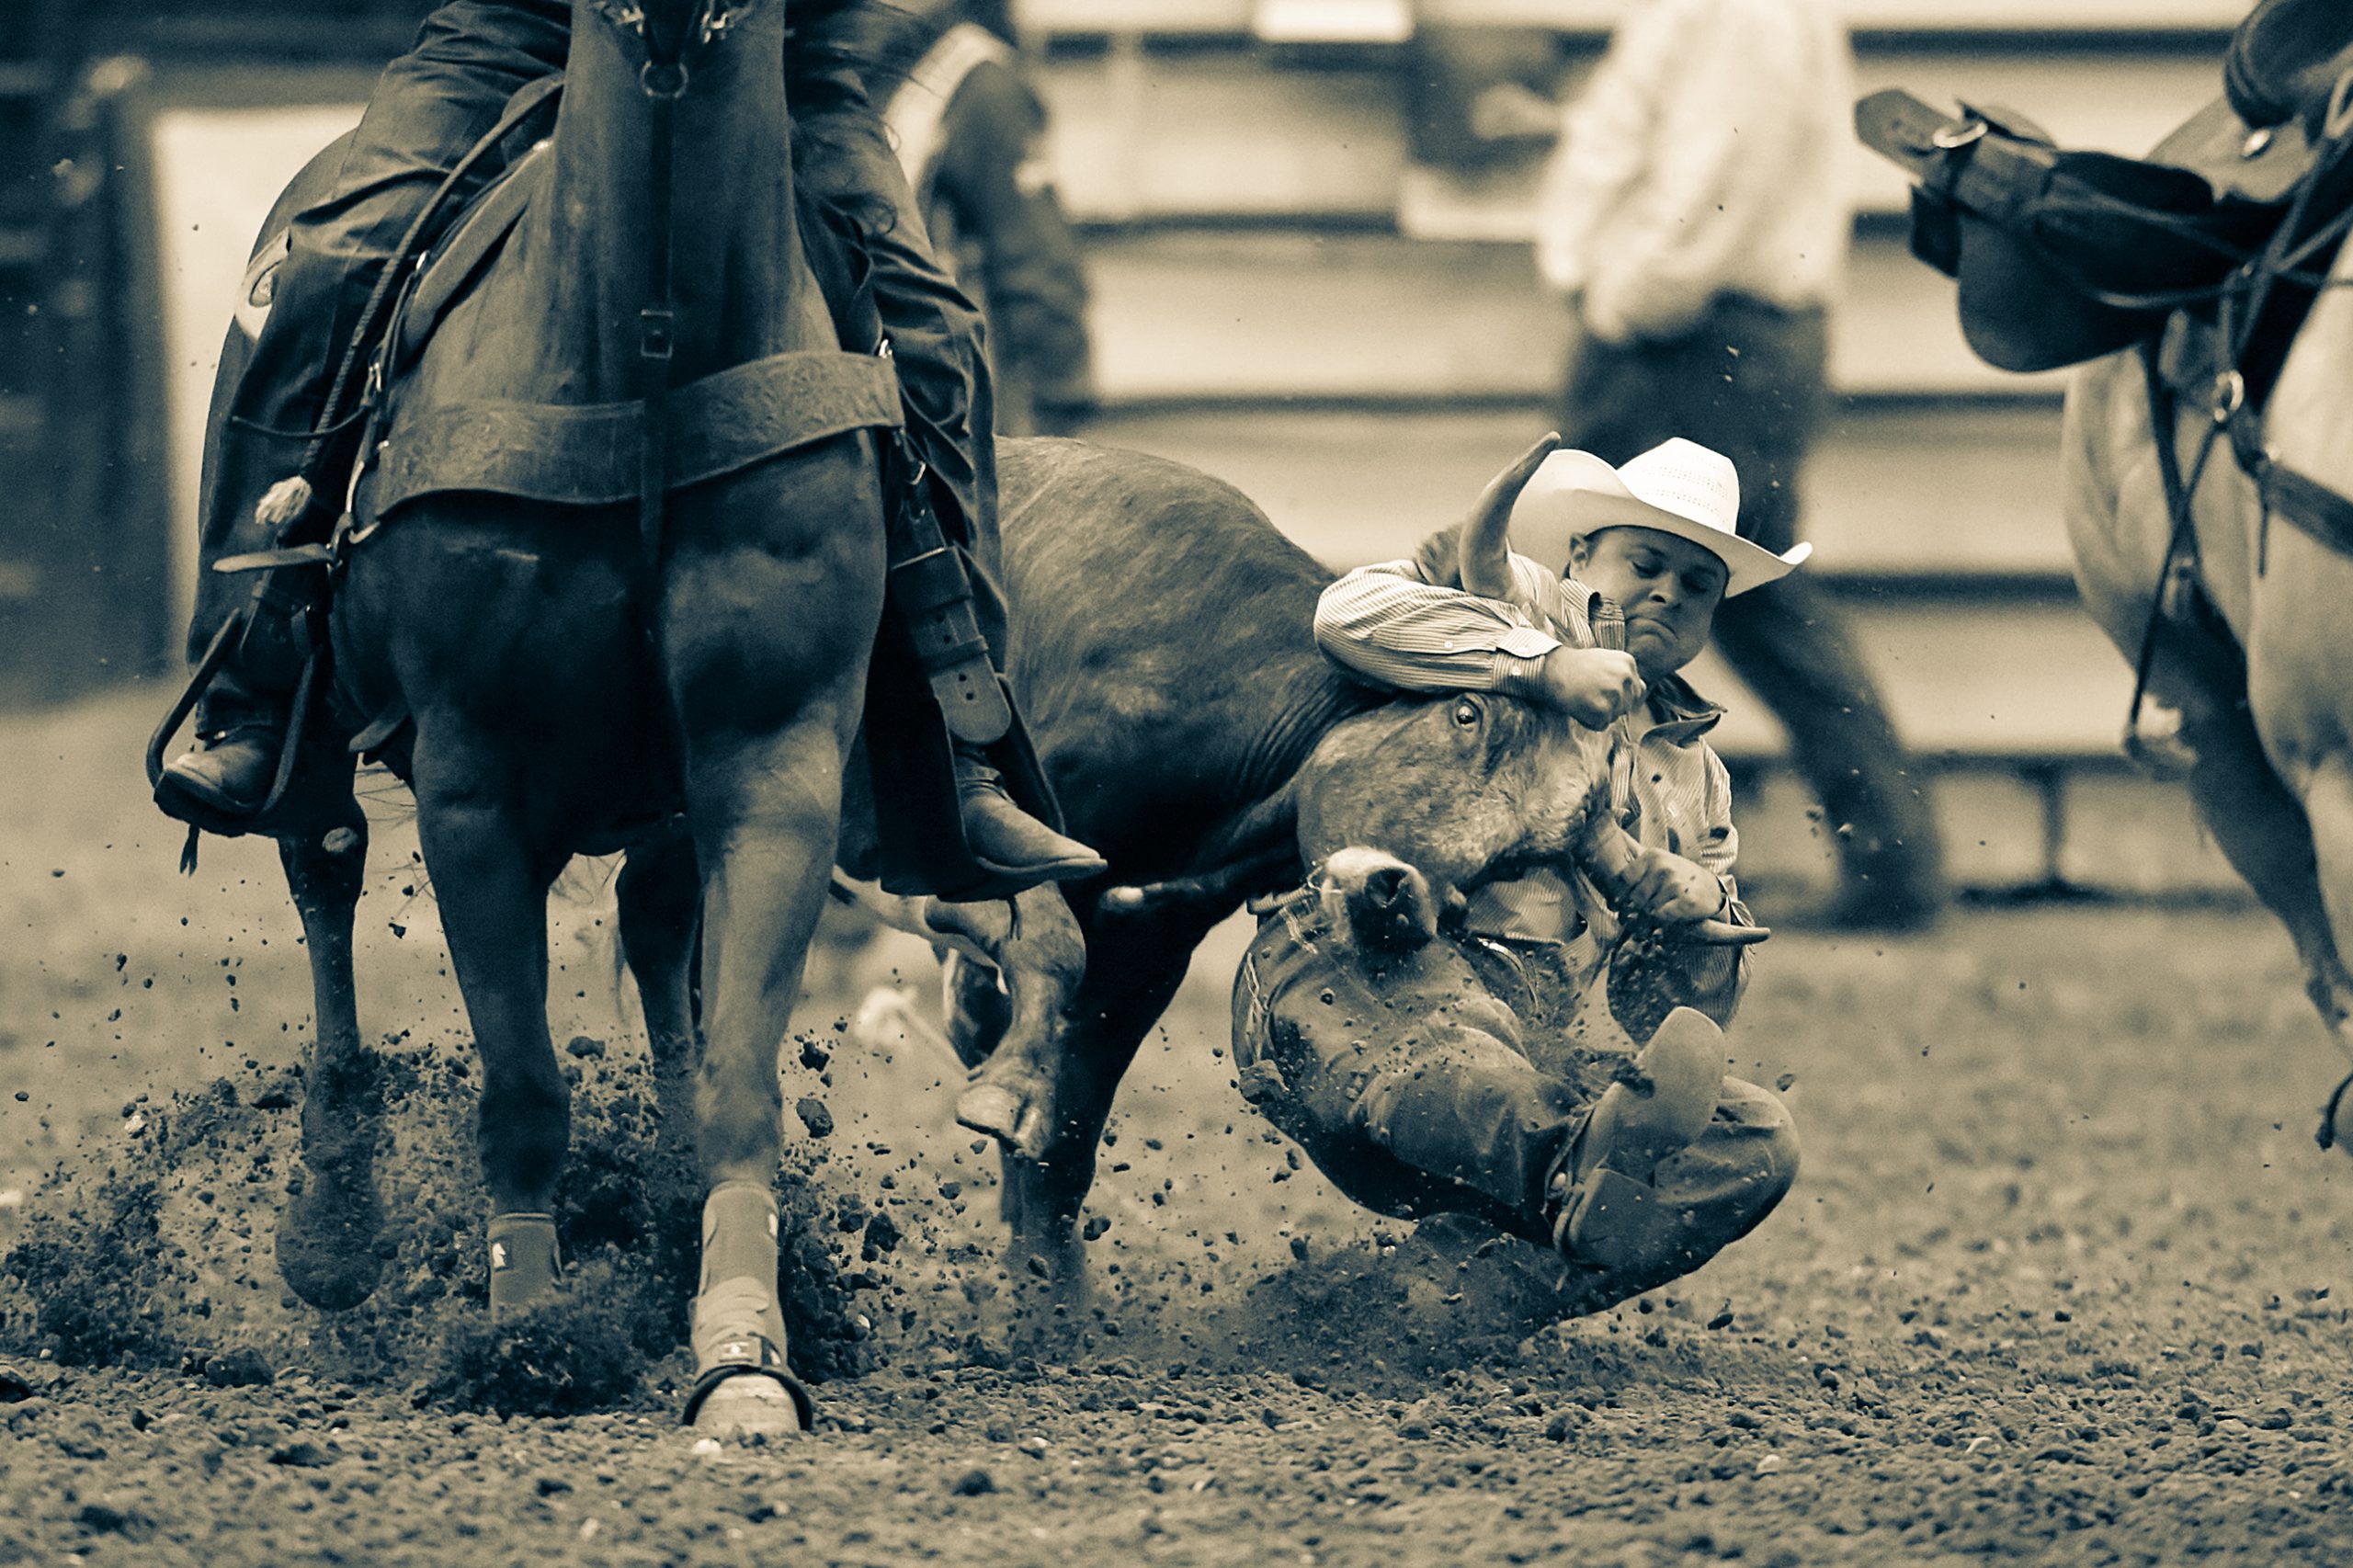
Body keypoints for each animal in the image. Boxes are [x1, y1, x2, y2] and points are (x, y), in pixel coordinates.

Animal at [186, 0, 889, 1431]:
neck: (649, 345)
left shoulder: (774, 759)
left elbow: (738, 1075)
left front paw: (743, 1346)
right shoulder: (477, 782)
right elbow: (520, 1088)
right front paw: (525, 1330)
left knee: (658, 922)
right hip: (318, 734)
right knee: (323, 863)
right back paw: (334, 1221)